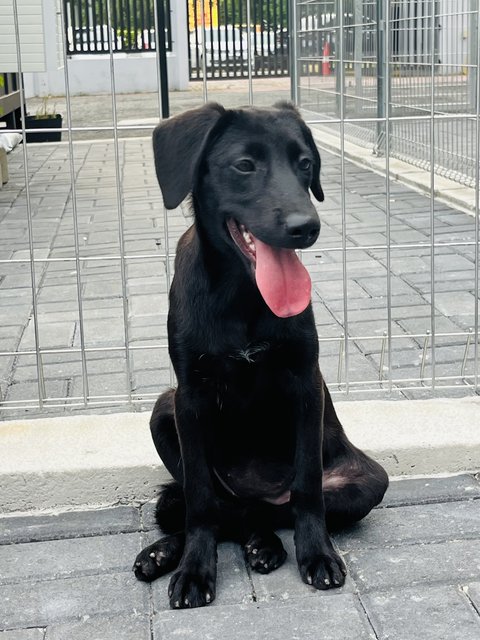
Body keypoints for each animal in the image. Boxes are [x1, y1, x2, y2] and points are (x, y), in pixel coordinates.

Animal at [133, 102, 388, 608]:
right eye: (245, 165)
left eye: (305, 163)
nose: (306, 227)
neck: (242, 296)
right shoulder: (189, 396)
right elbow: (201, 503)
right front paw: (194, 568)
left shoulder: (305, 384)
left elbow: (307, 490)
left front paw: (317, 555)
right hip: (163, 409)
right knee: (220, 506)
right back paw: (166, 552)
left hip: (369, 481)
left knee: (265, 511)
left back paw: (262, 545)